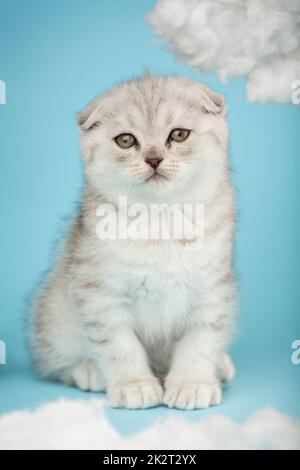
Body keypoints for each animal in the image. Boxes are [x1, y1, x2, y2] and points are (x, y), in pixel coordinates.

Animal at [30, 73, 237, 408]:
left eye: (179, 134)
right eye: (125, 140)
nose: (154, 158)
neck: (160, 218)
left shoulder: (211, 291)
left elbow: (200, 341)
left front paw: (192, 383)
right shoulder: (100, 294)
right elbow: (119, 345)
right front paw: (134, 385)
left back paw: (220, 364)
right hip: (54, 312)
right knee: (54, 360)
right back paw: (89, 370)